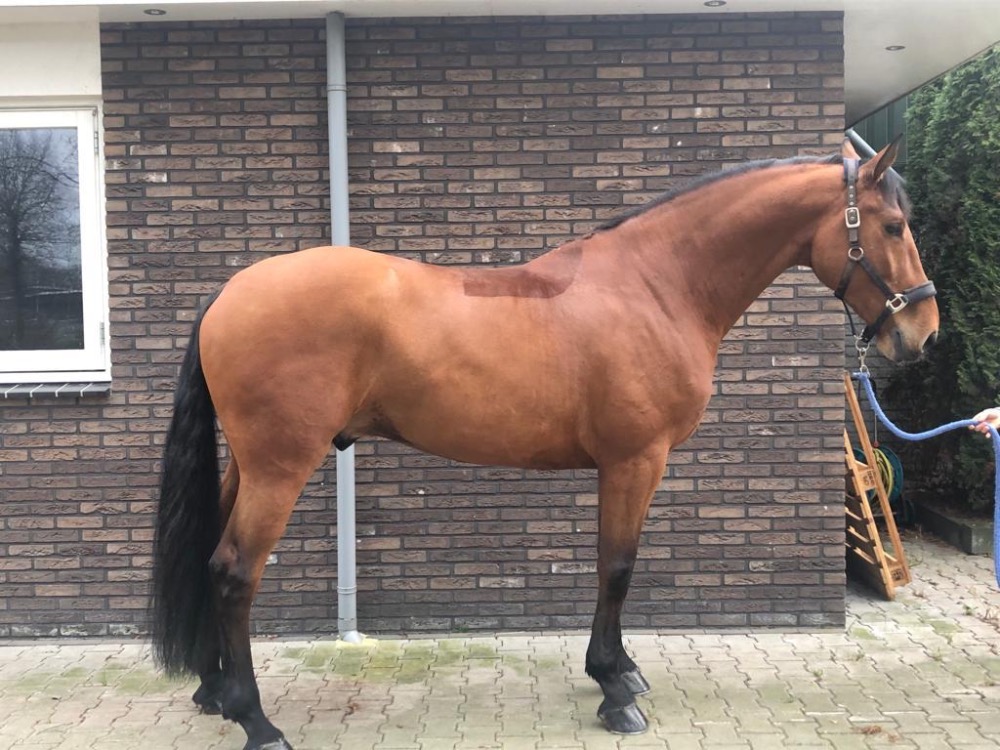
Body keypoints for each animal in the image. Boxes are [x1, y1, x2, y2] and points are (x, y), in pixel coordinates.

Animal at [151, 139, 939, 750]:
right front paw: (614, 688)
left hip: (247, 466)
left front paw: (621, 672)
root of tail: (227, 294)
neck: (655, 285)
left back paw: (213, 692)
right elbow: (617, 566)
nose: (922, 334)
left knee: (211, 559)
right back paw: (257, 722)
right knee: (234, 571)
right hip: (280, 467)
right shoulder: (634, 460)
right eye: (893, 225)